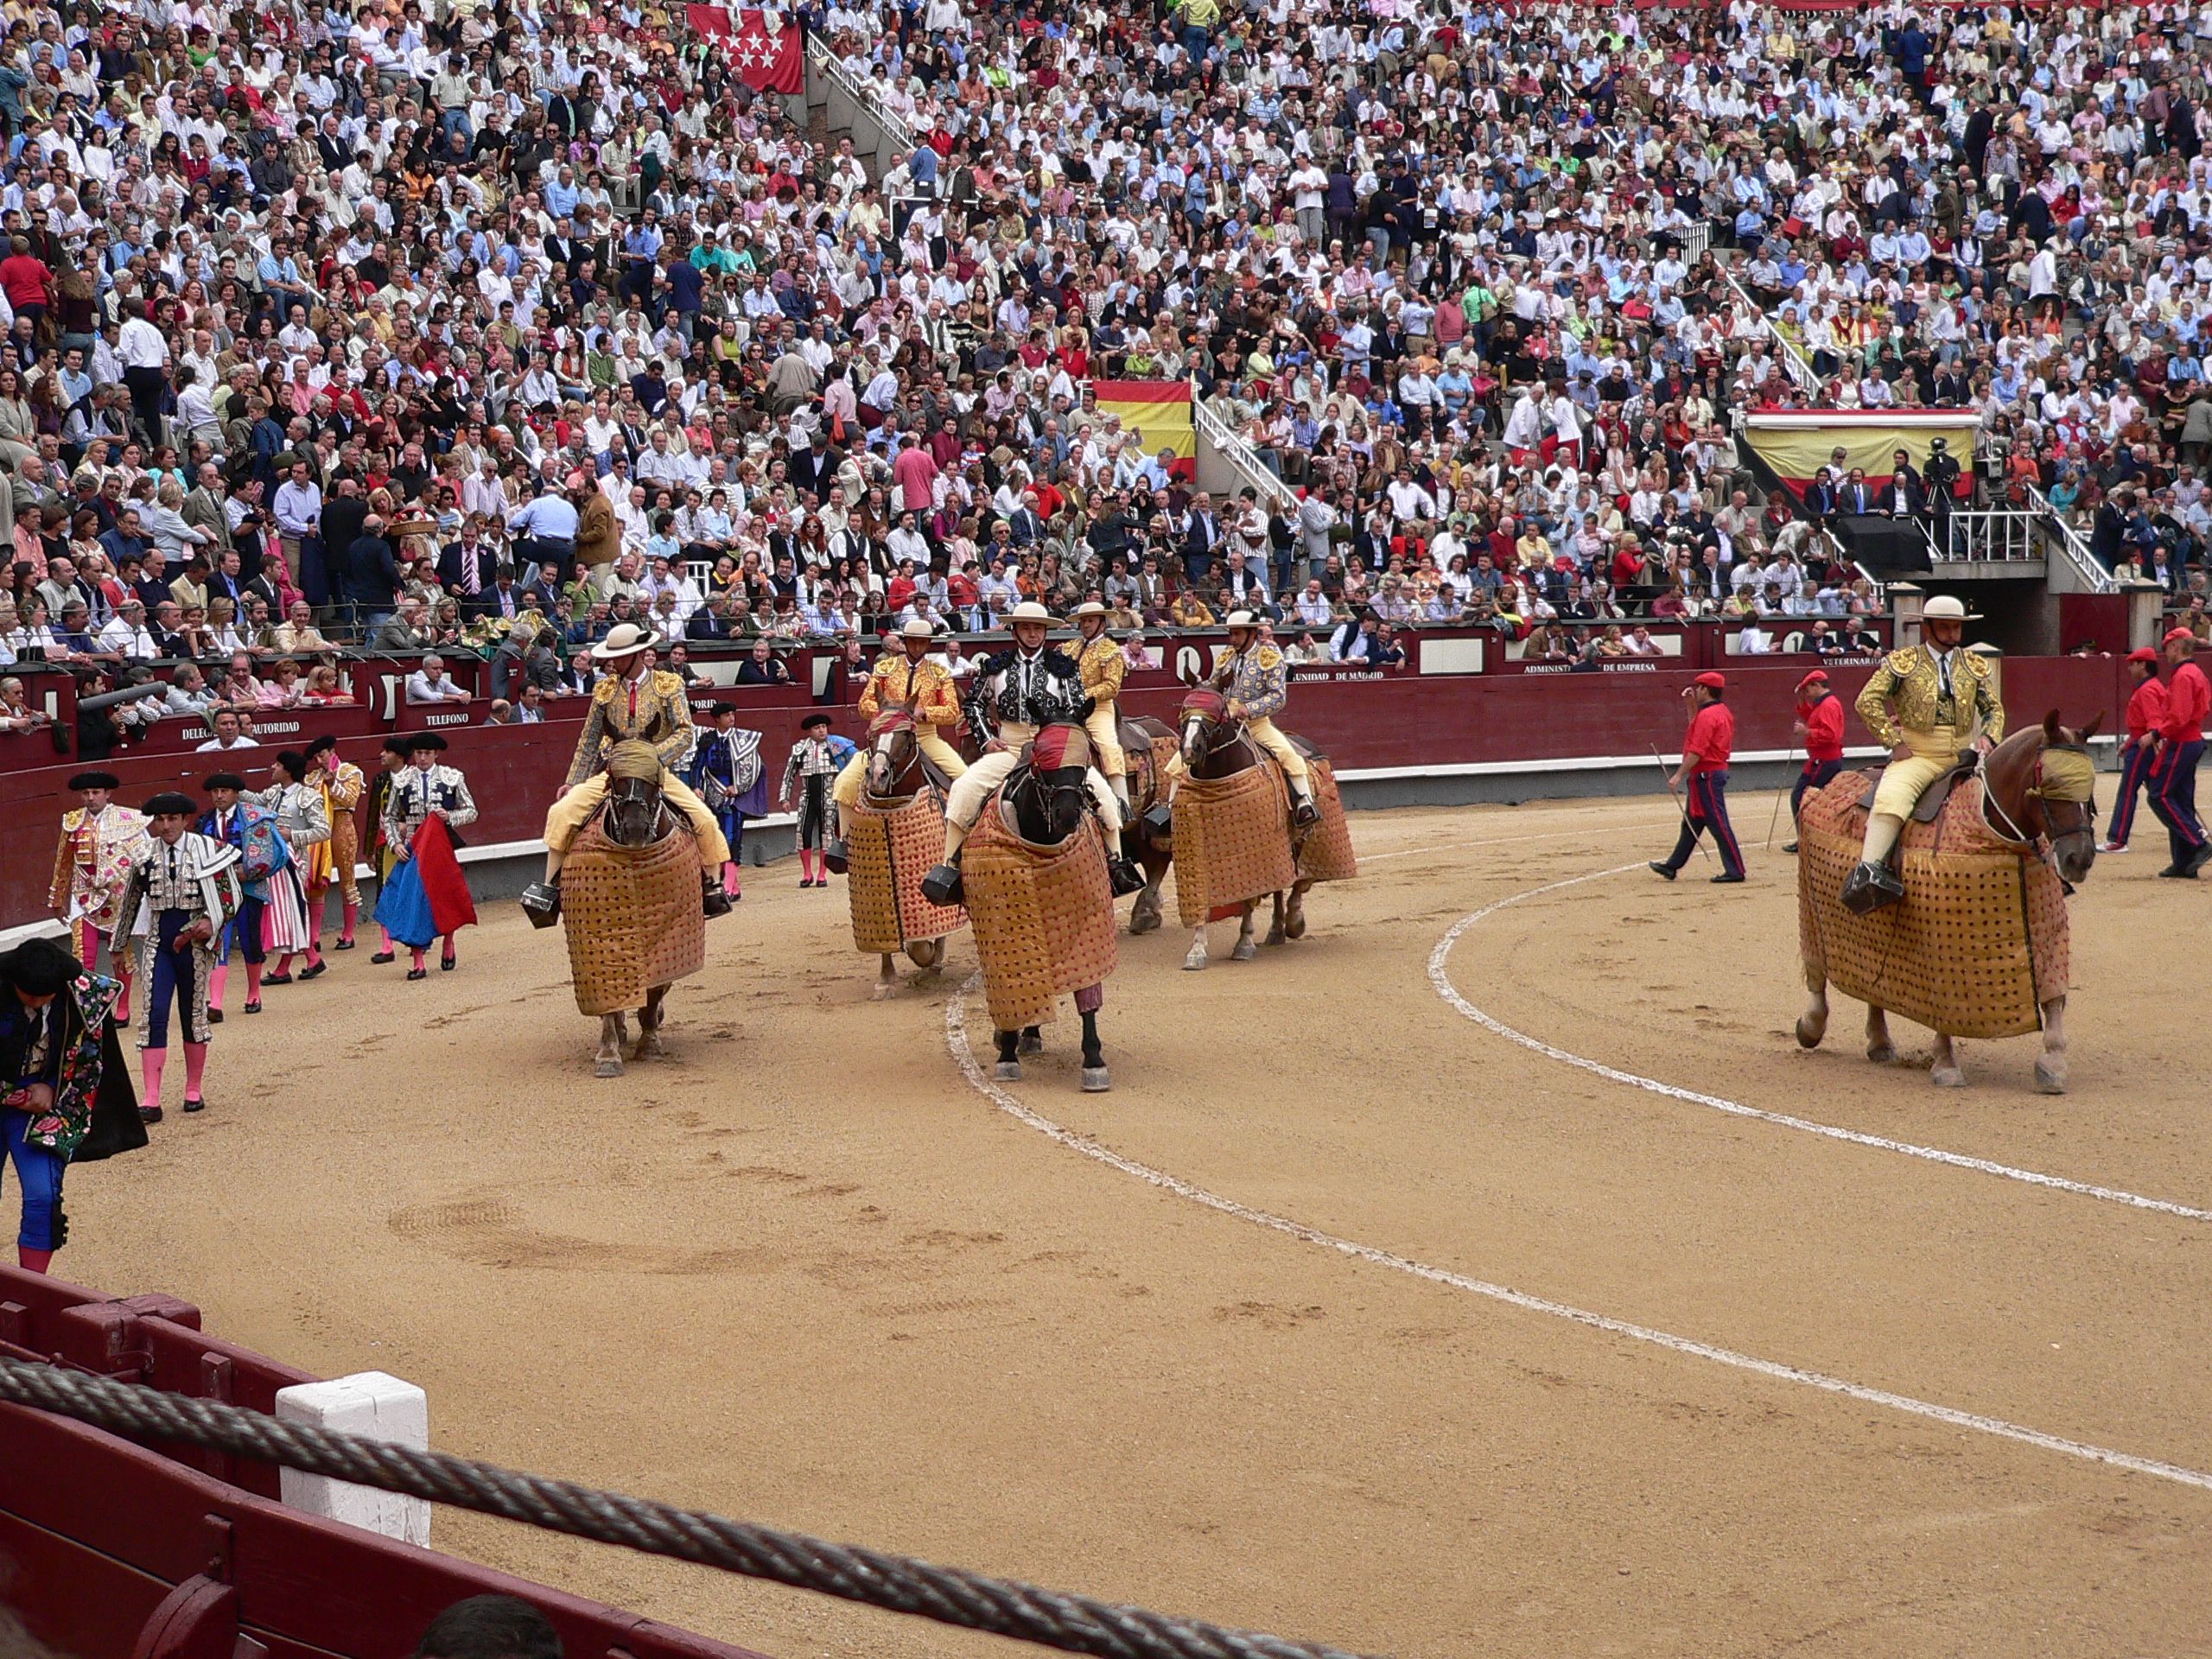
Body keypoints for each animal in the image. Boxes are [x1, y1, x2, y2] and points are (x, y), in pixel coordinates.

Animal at [1796, 712, 2088, 1092]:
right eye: (2051, 783)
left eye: (2089, 788)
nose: (2079, 858)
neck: (1993, 827)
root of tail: (1829, 785)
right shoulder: (1940, 944)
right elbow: (1944, 1003)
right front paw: (1946, 1064)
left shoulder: (2045, 932)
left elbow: (2053, 999)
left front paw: (2052, 1065)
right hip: (1811, 907)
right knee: (1816, 970)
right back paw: (1811, 1026)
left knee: (1874, 980)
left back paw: (1880, 1042)